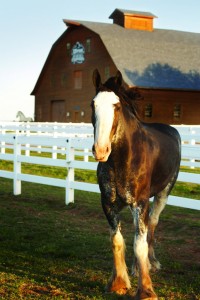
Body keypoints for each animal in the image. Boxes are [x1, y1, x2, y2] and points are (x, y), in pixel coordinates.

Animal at [90, 69, 181, 298]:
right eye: (92, 104)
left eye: (116, 106)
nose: (100, 150)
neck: (123, 160)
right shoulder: (108, 204)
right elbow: (117, 240)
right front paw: (118, 283)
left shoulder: (140, 203)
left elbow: (139, 244)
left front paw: (146, 291)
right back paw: (135, 268)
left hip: (163, 193)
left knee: (152, 224)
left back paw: (151, 263)